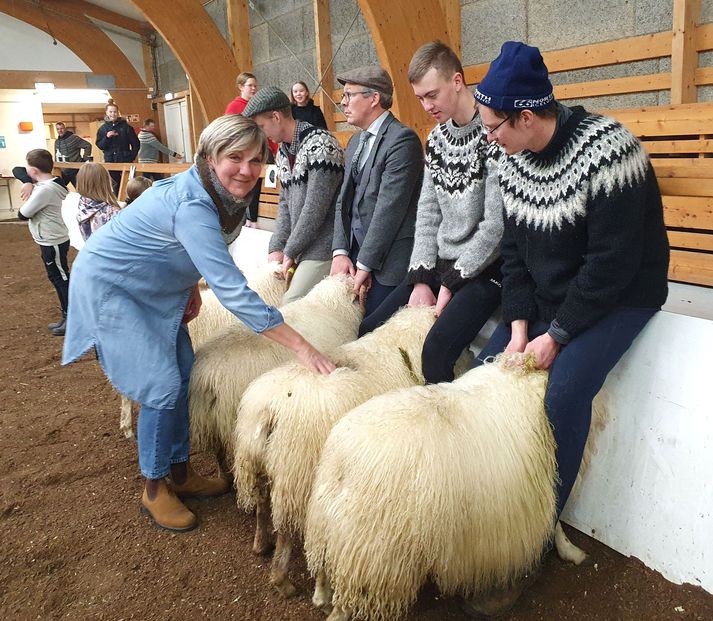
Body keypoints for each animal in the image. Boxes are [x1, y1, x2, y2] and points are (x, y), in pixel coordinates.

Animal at [234, 306, 442, 596]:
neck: (400, 345)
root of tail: (269, 409)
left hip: (256, 464)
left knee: (262, 505)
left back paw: (261, 544)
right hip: (295, 474)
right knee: (285, 529)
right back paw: (282, 581)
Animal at [304, 358, 588, 620]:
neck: (524, 377)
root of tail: (344, 462)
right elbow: (556, 519)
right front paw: (569, 550)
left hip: (329, 529)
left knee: (322, 571)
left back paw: (321, 596)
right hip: (373, 558)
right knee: (341, 610)